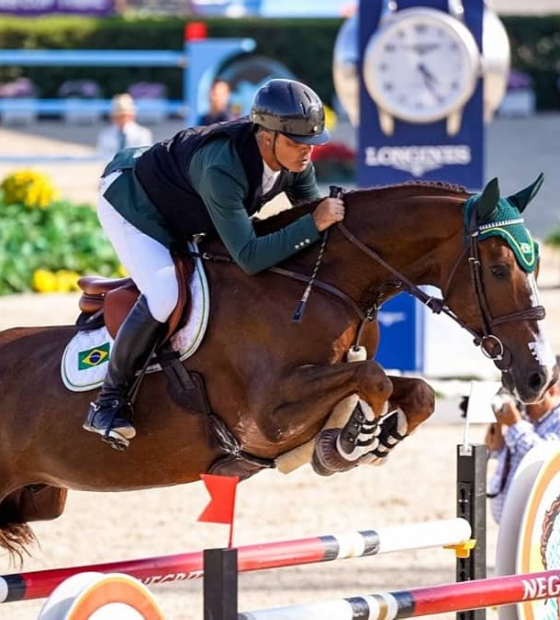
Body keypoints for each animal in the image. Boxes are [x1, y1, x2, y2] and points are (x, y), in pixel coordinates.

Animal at [0, 177, 556, 560]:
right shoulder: (266, 416)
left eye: (535, 265)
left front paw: (375, 438)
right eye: (500, 268)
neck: (319, 284)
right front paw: (353, 439)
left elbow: (414, 389)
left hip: (39, 498)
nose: (538, 377)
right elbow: (372, 379)